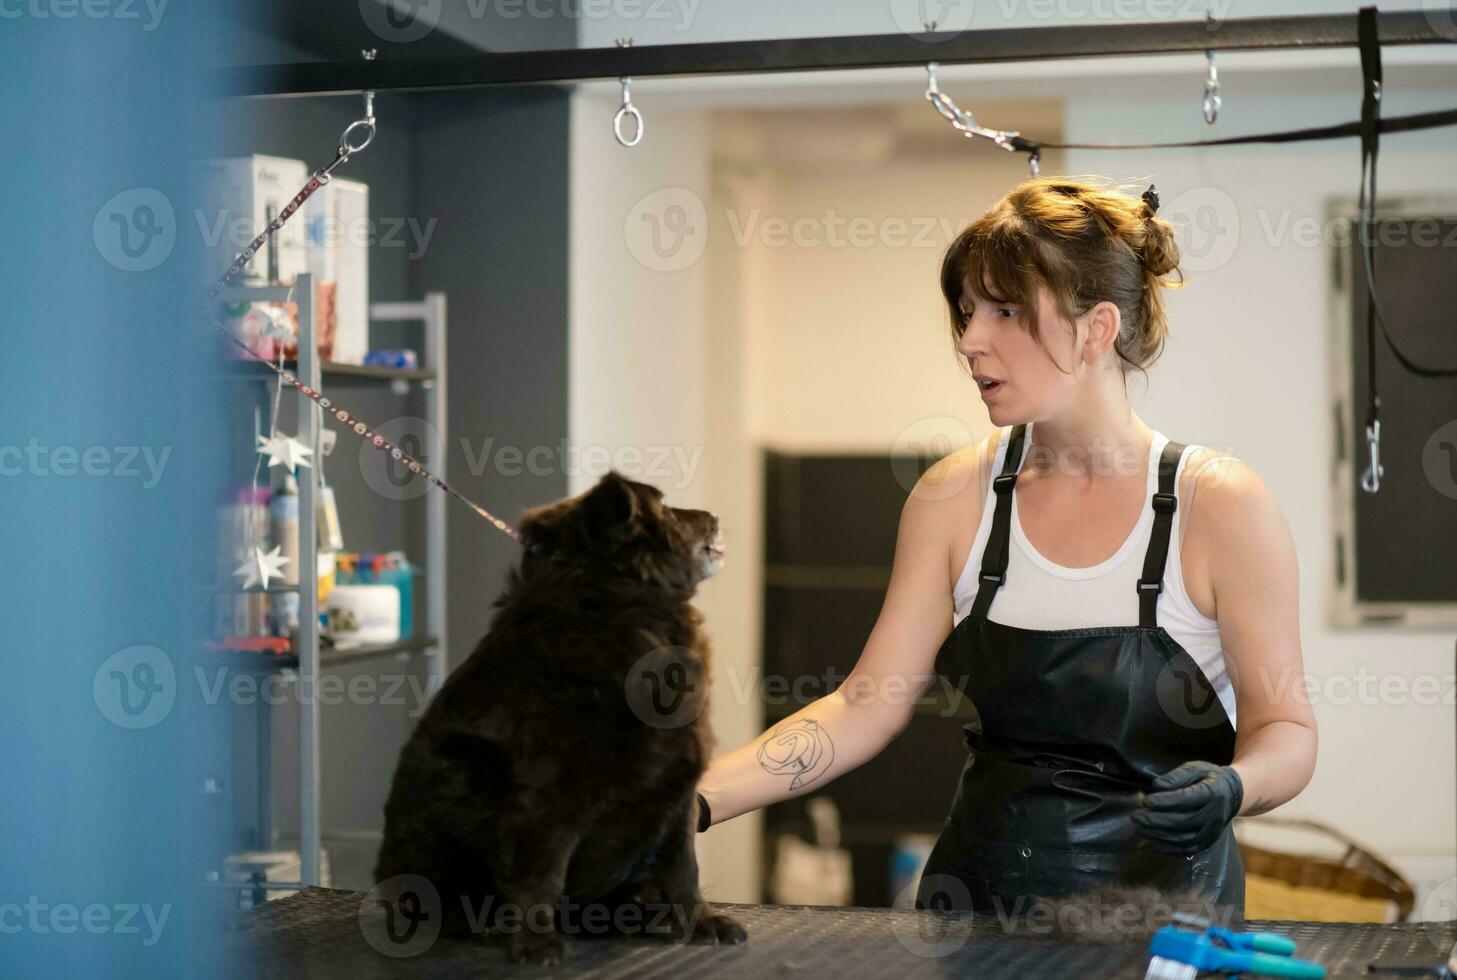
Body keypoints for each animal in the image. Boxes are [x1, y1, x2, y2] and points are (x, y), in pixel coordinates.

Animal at [375, 468, 745, 961]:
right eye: (665, 507)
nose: (715, 517)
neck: (612, 608)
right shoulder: (548, 797)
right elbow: (541, 874)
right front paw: (536, 943)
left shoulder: (677, 789)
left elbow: (683, 869)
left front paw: (701, 922)